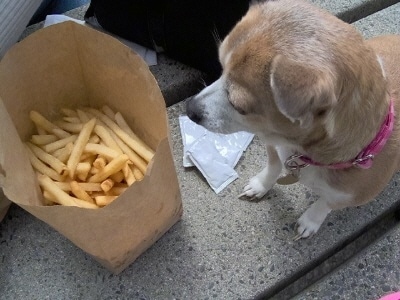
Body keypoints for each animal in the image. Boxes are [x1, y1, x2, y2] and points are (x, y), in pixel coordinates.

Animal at [186, 0, 400, 239]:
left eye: (238, 106)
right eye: (221, 70)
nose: (189, 108)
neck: (301, 151)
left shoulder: (352, 196)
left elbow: (325, 204)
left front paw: (310, 220)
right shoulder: (273, 146)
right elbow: (273, 166)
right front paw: (261, 185)